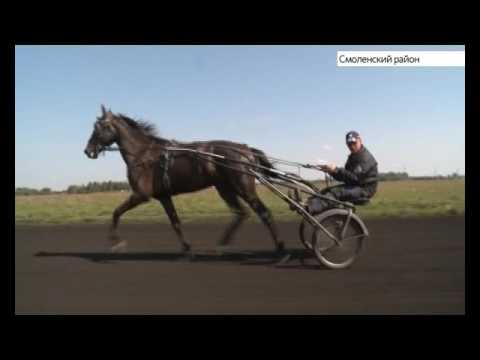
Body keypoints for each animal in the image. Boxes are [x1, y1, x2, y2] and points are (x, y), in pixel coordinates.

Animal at [83, 105, 284, 258]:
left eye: (100, 127)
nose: (88, 150)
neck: (143, 155)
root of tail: (246, 149)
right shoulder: (164, 196)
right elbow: (176, 223)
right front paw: (187, 248)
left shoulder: (141, 195)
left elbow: (116, 213)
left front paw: (116, 243)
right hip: (225, 188)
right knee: (241, 213)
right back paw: (222, 244)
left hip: (242, 187)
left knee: (264, 213)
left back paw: (280, 249)